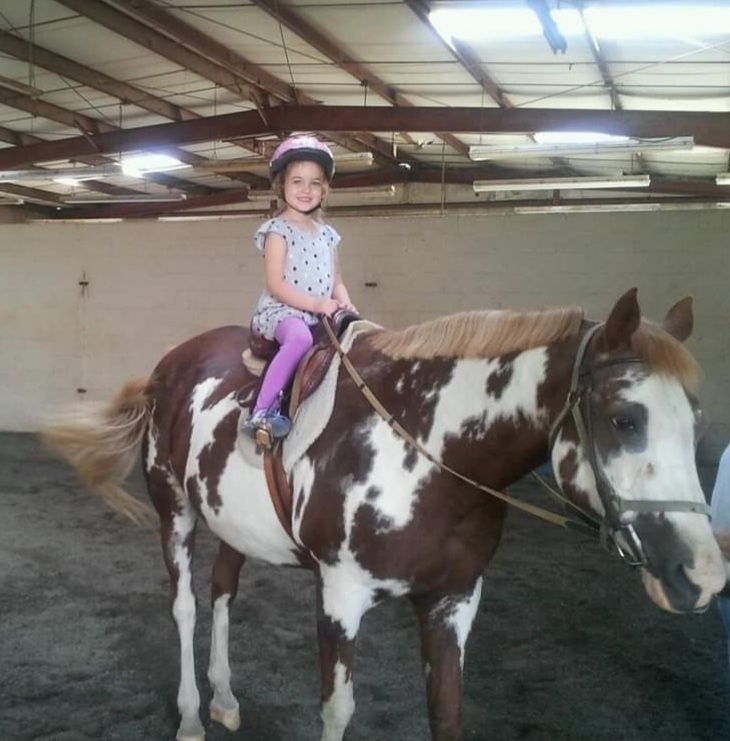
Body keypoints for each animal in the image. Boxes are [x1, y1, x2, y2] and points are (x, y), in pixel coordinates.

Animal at [44, 290, 724, 740]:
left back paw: (226, 698)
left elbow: (447, 713)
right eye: (625, 420)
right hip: (176, 514)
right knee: (185, 607)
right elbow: (338, 709)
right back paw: (189, 716)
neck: (426, 451)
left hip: (231, 526)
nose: (704, 575)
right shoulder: (340, 595)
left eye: (696, 422)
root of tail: (169, 367)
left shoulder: (454, 599)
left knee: (222, 595)